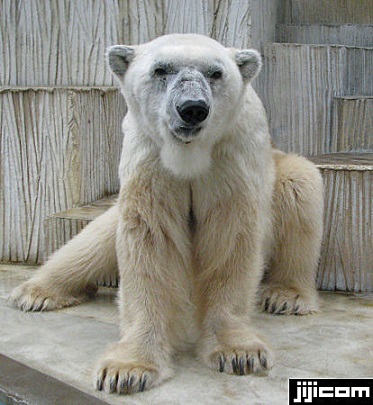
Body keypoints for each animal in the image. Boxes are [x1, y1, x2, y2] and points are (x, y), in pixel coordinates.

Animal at [9, 34, 322, 394]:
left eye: (216, 73)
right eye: (160, 70)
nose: (192, 109)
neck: (188, 155)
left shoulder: (231, 155)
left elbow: (229, 237)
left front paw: (239, 352)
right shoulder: (149, 156)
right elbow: (150, 240)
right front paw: (127, 370)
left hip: (281, 172)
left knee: (301, 188)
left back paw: (287, 296)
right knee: (94, 239)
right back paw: (35, 293)